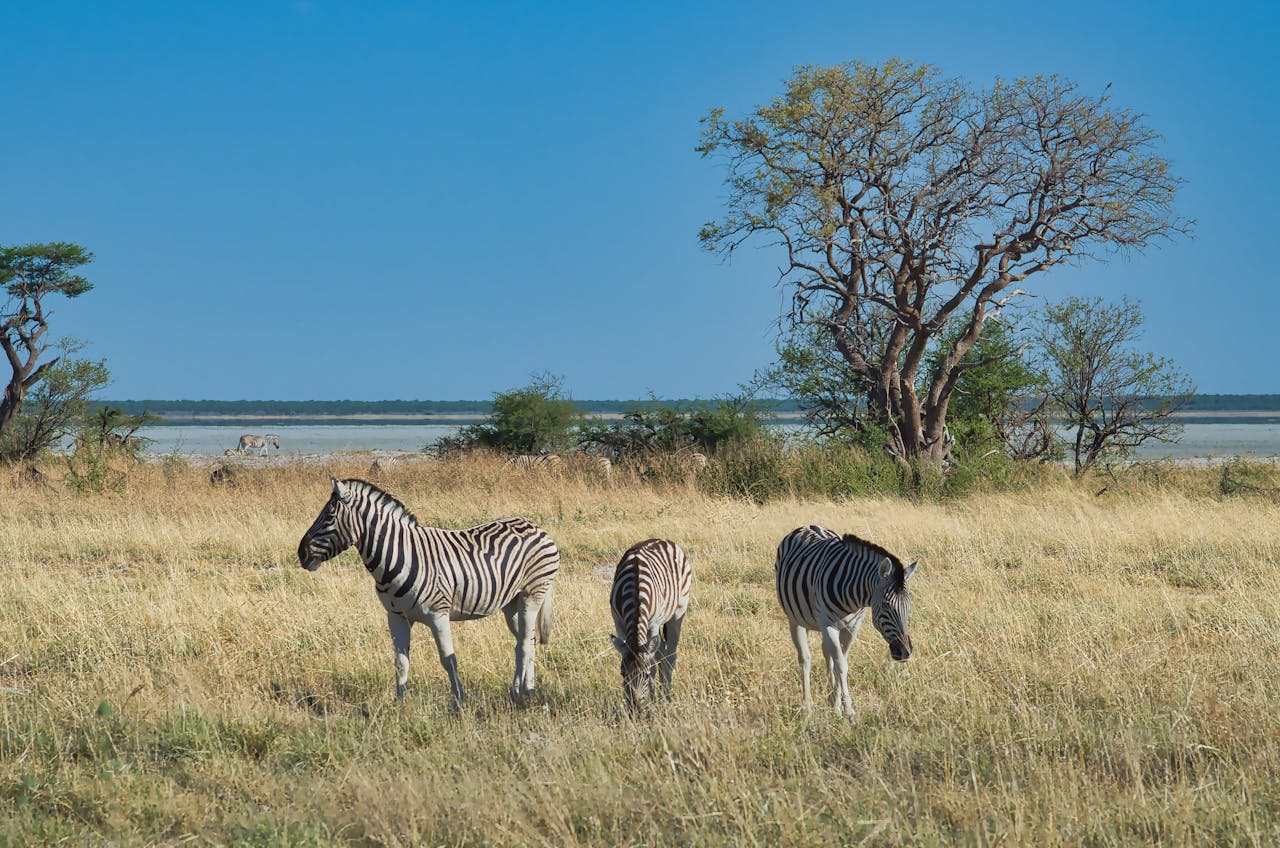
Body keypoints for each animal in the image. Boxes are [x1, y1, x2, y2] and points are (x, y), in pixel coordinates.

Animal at [297, 478, 559, 705]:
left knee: (524, 643)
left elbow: (448, 660)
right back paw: (525, 689)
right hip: (511, 603)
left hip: (532, 595)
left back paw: (520, 692)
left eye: (329, 516)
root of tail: (537, 527)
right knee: (528, 640)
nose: (301, 554)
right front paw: (399, 705)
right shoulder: (396, 617)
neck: (398, 557)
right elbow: (400, 663)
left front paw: (459, 702)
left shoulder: (438, 614)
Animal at [610, 538, 692, 713]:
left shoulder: (653, 624)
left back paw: (666, 696)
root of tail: (663, 540)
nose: (635, 710)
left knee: (670, 655)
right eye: (623, 674)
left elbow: (653, 665)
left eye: (646, 675)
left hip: (678, 611)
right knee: (662, 654)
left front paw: (653, 704)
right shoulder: (619, 623)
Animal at [775, 525, 917, 719]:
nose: (904, 652)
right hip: (795, 619)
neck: (854, 596)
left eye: (909, 606)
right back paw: (807, 707)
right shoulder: (828, 624)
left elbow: (840, 662)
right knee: (805, 658)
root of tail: (807, 526)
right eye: (886, 604)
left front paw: (836, 706)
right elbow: (841, 665)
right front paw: (849, 710)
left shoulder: (853, 627)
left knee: (827, 653)